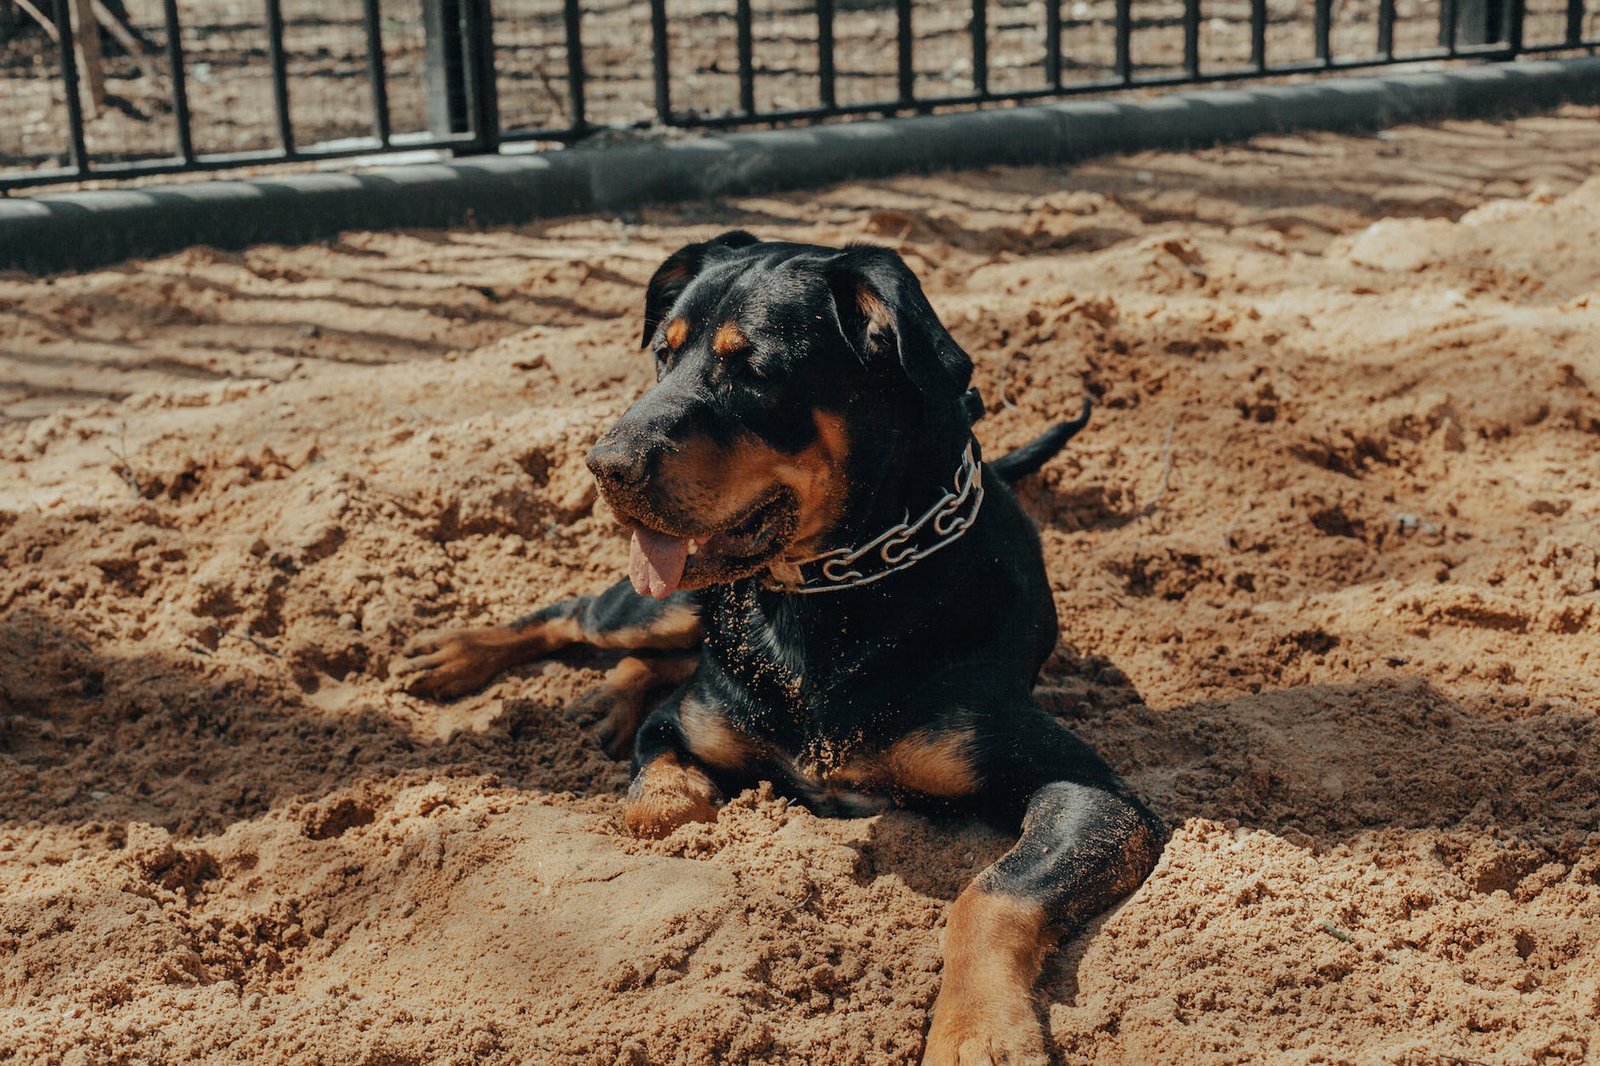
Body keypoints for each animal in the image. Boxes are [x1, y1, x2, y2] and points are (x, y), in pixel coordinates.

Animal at [393, 232, 1171, 1062]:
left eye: (754, 369)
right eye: (662, 354)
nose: (605, 466)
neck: (830, 597)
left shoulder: (1095, 796)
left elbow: (994, 891)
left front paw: (978, 1031)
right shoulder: (680, 725)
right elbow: (660, 807)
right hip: (653, 604)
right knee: (580, 615)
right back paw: (461, 658)